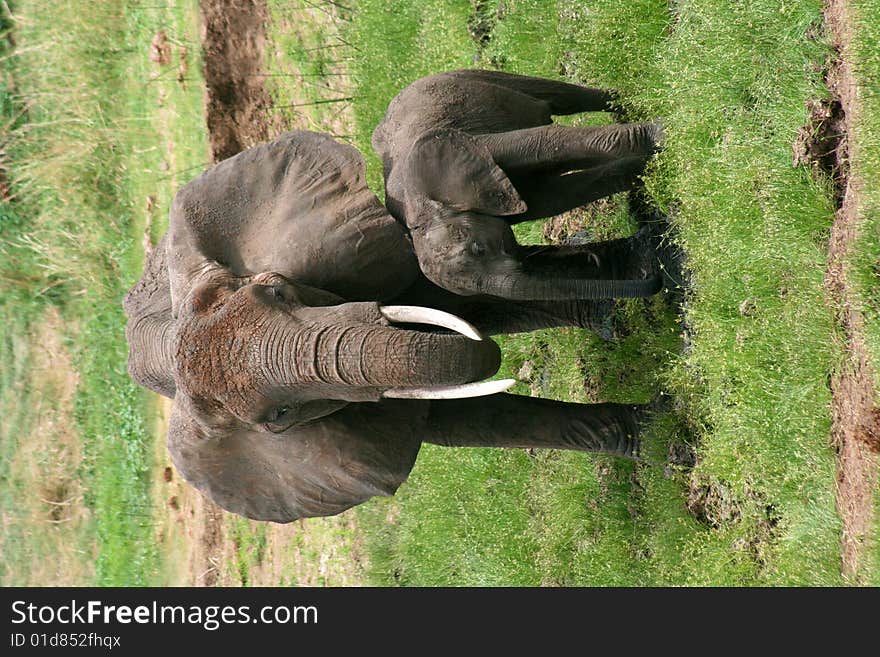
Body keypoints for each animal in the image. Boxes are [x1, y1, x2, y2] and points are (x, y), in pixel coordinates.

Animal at [372, 68, 668, 300]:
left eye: (479, 249)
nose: (657, 280)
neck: (420, 207)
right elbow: (556, 195)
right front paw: (645, 172)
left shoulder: (481, 144)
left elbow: (545, 142)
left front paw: (662, 134)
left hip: (467, 77)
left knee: (562, 97)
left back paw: (627, 106)